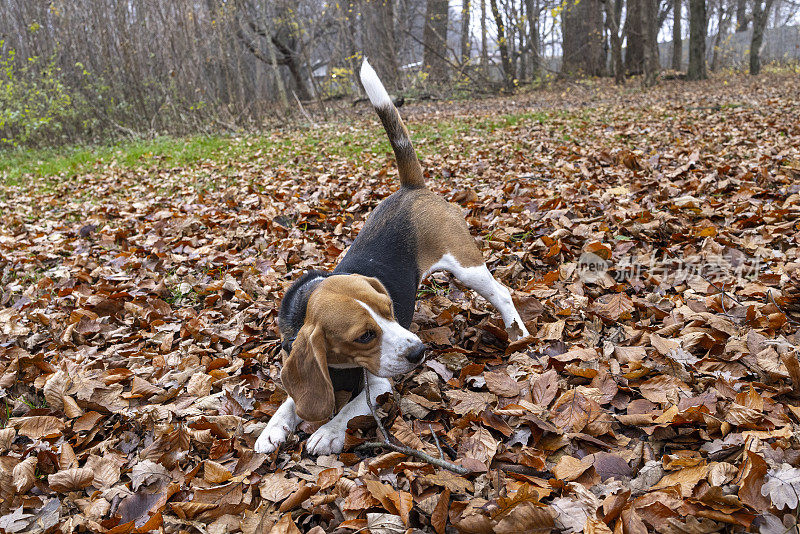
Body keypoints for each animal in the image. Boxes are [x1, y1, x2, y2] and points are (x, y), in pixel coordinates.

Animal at [256, 60, 532, 458]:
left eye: (390, 309)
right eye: (364, 335)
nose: (419, 352)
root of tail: (411, 188)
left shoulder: (380, 385)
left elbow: (351, 409)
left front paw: (328, 431)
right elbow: (292, 401)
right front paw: (272, 428)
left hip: (467, 267)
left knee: (503, 293)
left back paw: (518, 332)